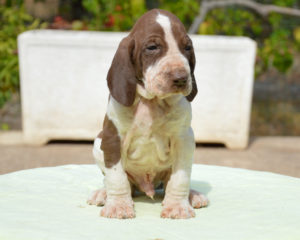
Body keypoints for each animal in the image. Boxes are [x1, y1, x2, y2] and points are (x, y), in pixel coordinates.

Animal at [88, 8, 207, 219]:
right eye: (152, 47)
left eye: (187, 48)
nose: (181, 78)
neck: (151, 101)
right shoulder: (111, 139)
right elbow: (116, 176)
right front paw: (118, 205)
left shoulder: (183, 139)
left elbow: (180, 177)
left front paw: (177, 206)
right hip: (98, 143)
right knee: (118, 182)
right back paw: (103, 193)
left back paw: (193, 195)